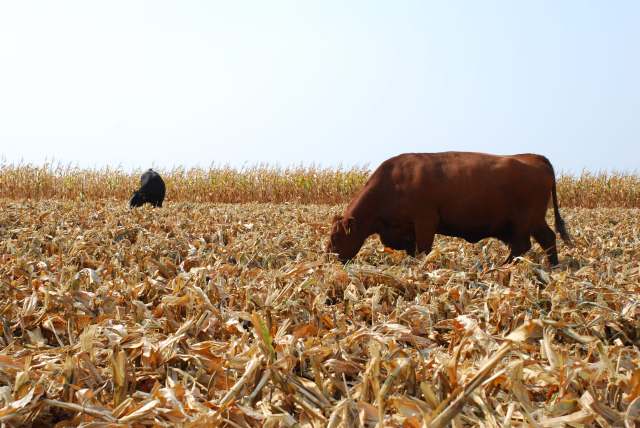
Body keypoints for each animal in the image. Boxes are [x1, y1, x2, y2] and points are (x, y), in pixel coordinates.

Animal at [326, 152, 571, 266]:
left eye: (335, 238)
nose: (327, 258)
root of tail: (534, 157)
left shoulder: (425, 221)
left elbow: (423, 250)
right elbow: (413, 251)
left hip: (524, 221)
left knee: (522, 246)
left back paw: (502, 267)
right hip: (535, 221)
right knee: (547, 239)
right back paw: (553, 266)